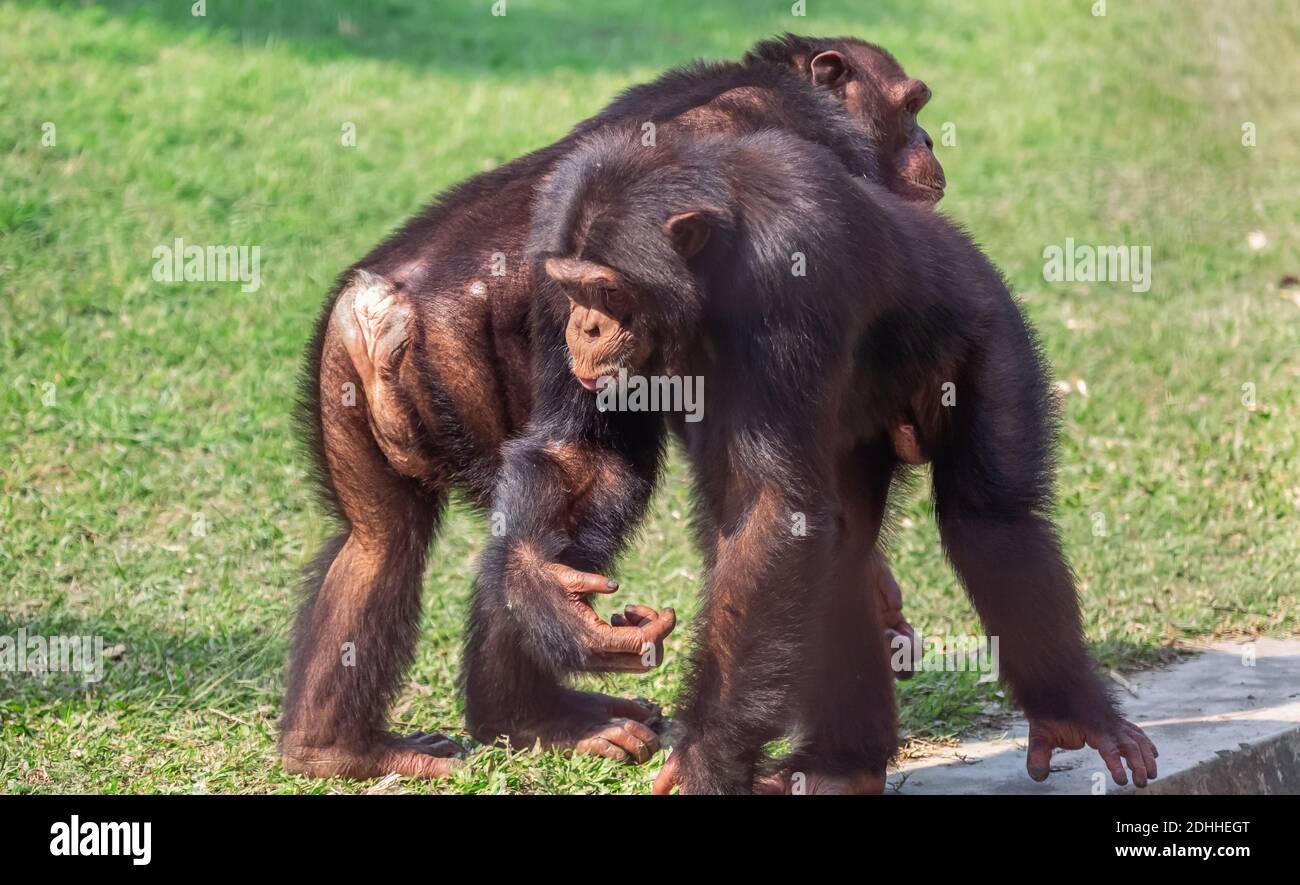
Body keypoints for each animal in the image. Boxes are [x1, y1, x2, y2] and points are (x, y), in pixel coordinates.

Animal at [284, 36, 946, 779]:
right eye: (912, 106)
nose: (927, 140)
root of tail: (385, 313)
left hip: (342, 373)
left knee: (386, 538)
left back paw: (346, 746)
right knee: (589, 491)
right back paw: (544, 717)